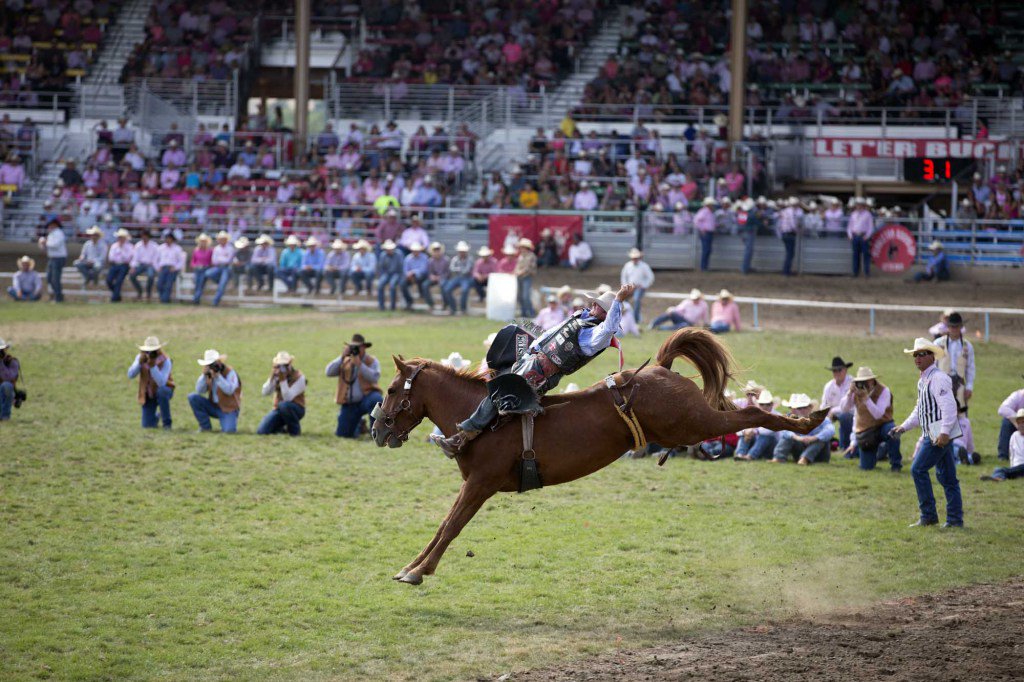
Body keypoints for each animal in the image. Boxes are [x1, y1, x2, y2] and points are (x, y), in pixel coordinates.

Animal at [372, 327, 827, 581]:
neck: (482, 417)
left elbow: (451, 528)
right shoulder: (472, 486)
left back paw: (810, 421)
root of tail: (660, 369)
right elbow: (442, 526)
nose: (377, 429)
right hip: (694, 422)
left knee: (752, 414)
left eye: (392, 389)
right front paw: (410, 566)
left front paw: (418, 573)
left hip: (695, 423)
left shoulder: (480, 484)